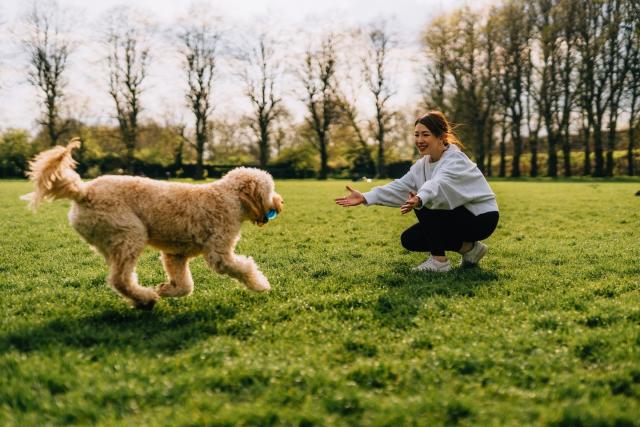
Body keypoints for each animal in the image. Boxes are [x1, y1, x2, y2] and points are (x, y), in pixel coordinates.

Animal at [23, 139, 282, 310]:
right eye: (270, 190)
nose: (280, 203)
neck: (230, 197)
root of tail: (83, 192)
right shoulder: (219, 253)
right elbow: (243, 267)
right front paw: (260, 285)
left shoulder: (175, 255)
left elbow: (185, 285)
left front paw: (167, 289)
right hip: (130, 234)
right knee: (120, 279)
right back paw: (146, 298)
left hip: (112, 243)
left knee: (118, 278)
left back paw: (142, 299)